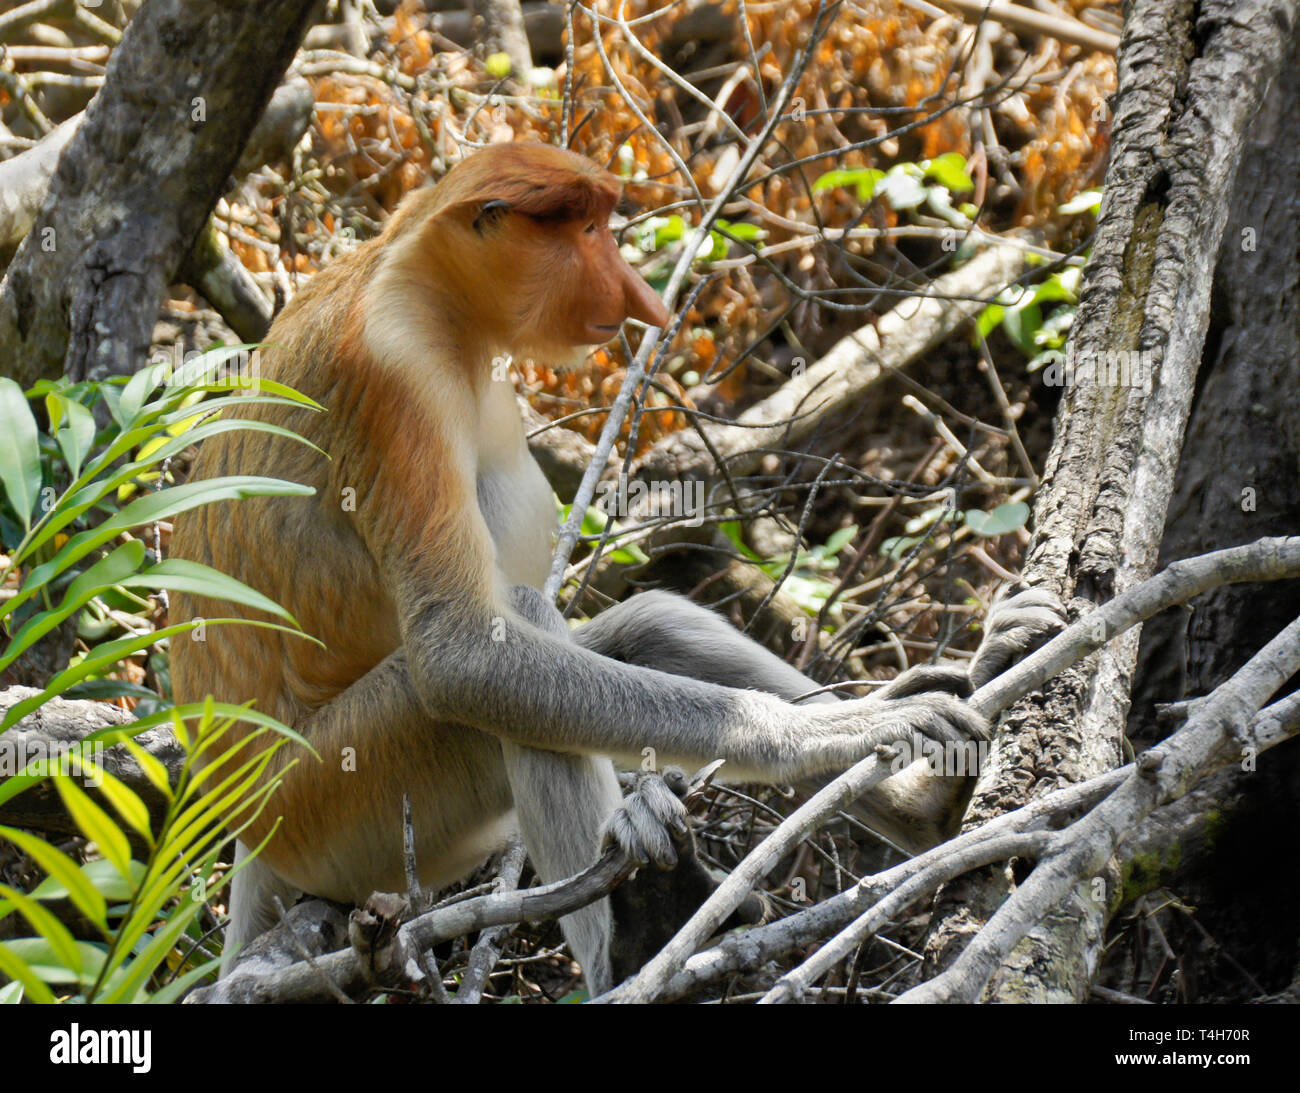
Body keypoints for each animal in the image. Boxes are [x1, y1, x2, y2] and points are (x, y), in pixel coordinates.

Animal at [170, 141, 1066, 992]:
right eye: (588, 230)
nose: (642, 299)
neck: (419, 279)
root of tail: (250, 840)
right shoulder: (393, 373)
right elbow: (461, 656)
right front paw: (831, 731)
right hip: (339, 807)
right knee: (499, 662)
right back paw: (638, 948)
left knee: (646, 624)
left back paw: (940, 788)